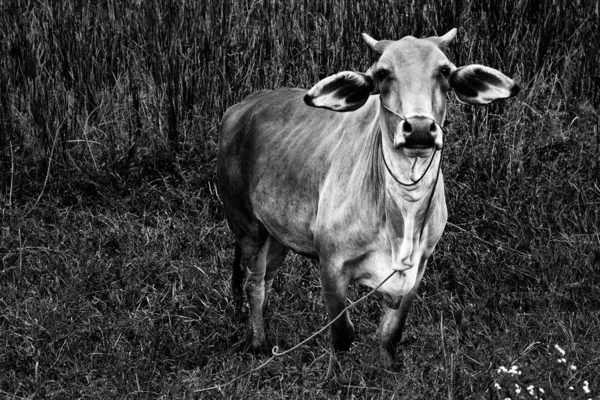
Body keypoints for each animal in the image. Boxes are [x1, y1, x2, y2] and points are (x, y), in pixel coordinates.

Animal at [217, 28, 520, 368]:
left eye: (444, 70)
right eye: (383, 73)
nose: (418, 129)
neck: (403, 208)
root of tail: (242, 106)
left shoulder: (418, 268)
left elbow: (390, 335)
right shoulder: (332, 265)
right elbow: (342, 336)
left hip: (278, 234)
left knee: (267, 280)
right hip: (246, 226)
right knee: (254, 283)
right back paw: (258, 342)